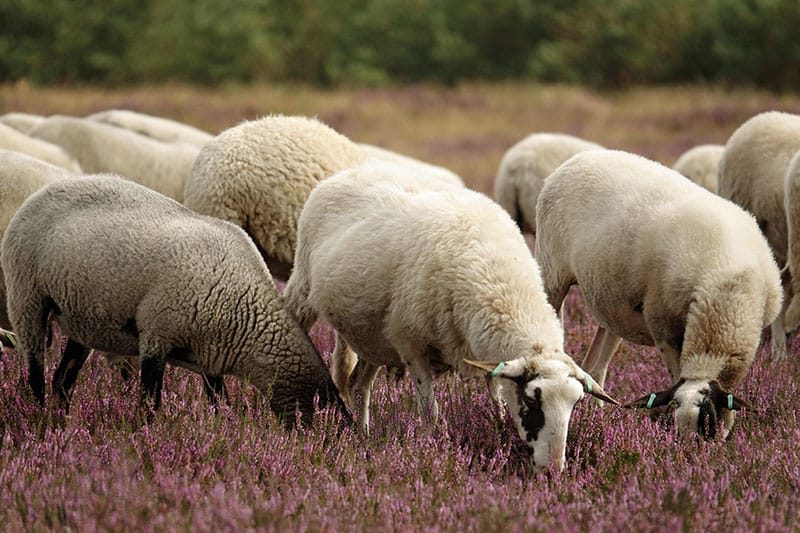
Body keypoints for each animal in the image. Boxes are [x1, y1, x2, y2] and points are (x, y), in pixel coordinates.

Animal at [1, 174, 349, 424]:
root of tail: (43, 192)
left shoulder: (210, 357)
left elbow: (220, 404)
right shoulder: (157, 335)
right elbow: (149, 403)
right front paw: (144, 437)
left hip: (80, 320)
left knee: (62, 381)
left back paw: (62, 425)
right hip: (27, 296)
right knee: (35, 374)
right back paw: (39, 421)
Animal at [283, 160, 617, 472]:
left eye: (575, 403)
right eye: (532, 401)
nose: (554, 470)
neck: (499, 281)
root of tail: (348, 173)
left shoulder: (482, 354)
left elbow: (496, 401)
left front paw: (499, 431)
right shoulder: (411, 345)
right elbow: (430, 413)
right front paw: (431, 449)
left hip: (372, 335)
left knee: (357, 385)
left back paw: (363, 436)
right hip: (304, 285)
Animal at [535, 149, 782, 440]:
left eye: (707, 419)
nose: (687, 449)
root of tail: (580, 157)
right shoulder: (664, 325)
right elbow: (676, 376)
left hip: (613, 303)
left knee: (597, 362)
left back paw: (596, 414)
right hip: (551, 272)